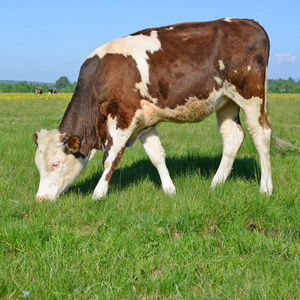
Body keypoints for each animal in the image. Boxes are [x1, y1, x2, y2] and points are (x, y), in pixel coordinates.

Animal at [32, 18, 272, 202]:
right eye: (37, 164)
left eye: (55, 163)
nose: (40, 199)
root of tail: (251, 23)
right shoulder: (145, 123)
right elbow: (157, 156)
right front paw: (170, 190)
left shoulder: (123, 117)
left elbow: (110, 158)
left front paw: (98, 194)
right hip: (226, 101)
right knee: (232, 137)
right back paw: (216, 183)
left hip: (251, 96)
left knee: (261, 134)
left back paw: (266, 188)